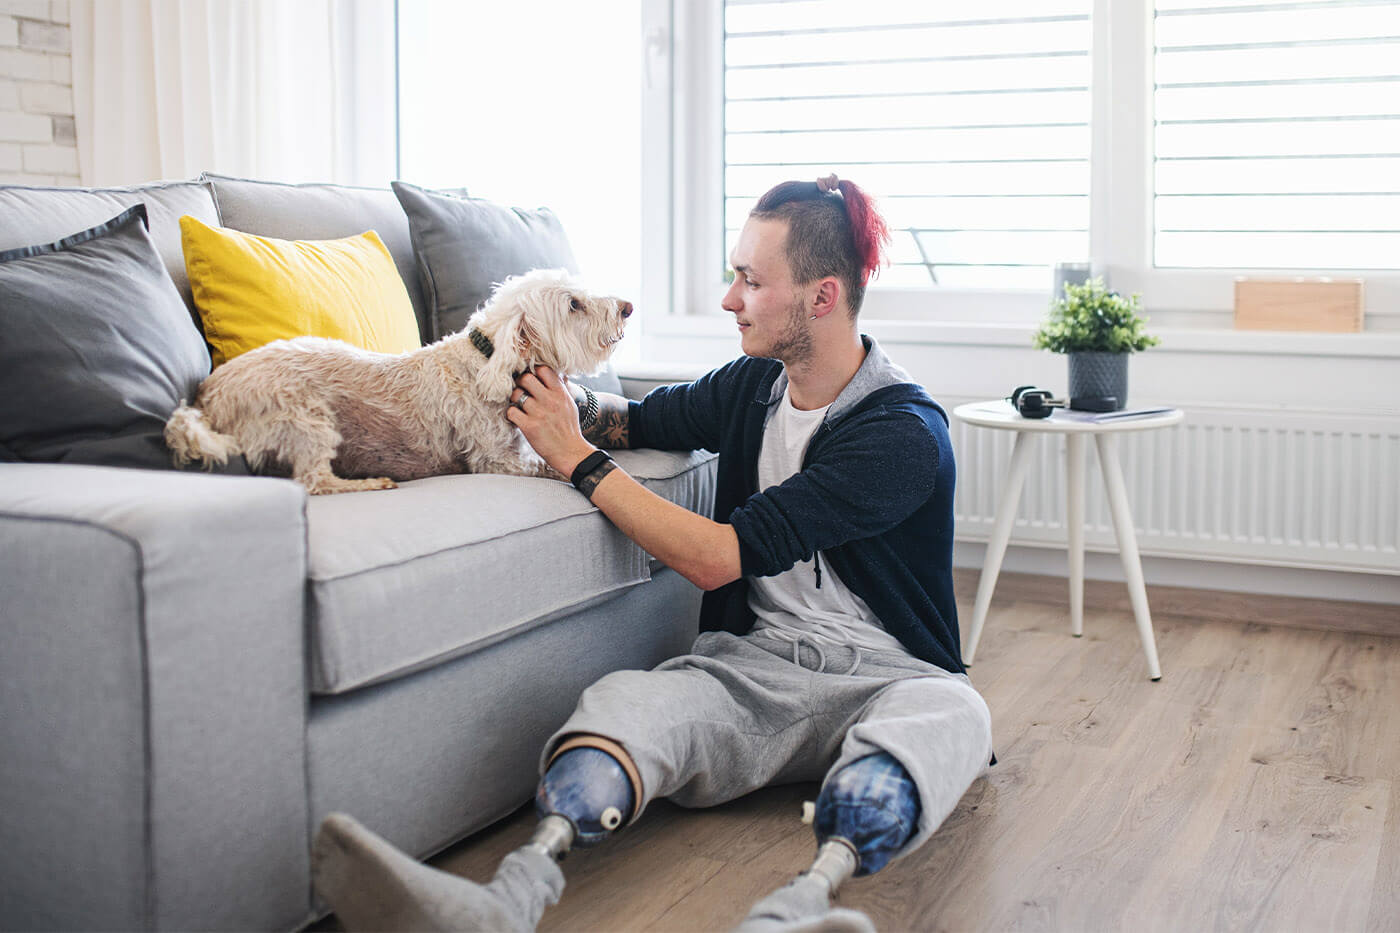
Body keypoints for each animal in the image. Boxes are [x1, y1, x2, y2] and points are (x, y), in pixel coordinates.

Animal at [160, 267, 635, 493]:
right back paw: (369, 483)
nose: (627, 307)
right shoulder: (496, 461)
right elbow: (549, 466)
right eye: (574, 304)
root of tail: (206, 399)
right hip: (306, 419)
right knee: (314, 482)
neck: (484, 360)